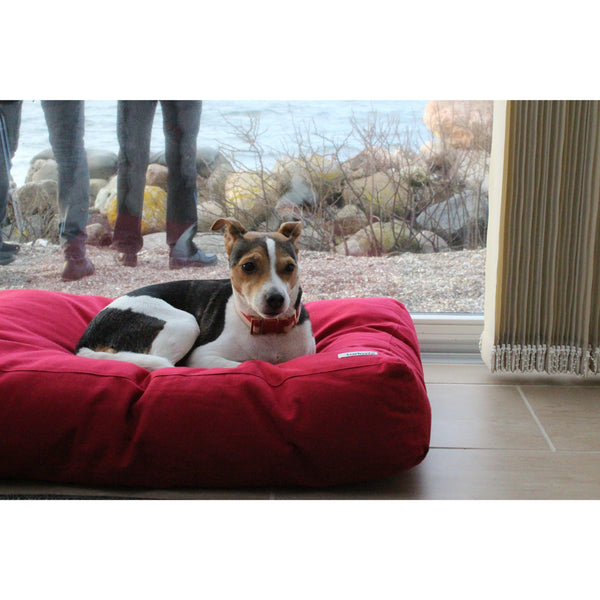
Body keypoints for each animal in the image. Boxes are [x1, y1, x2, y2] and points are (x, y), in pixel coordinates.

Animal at [75, 219, 316, 370]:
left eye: (290, 267)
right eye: (248, 266)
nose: (276, 299)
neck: (269, 330)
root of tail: (85, 341)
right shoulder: (203, 355)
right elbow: (250, 363)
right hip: (185, 323)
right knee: (160, 363)